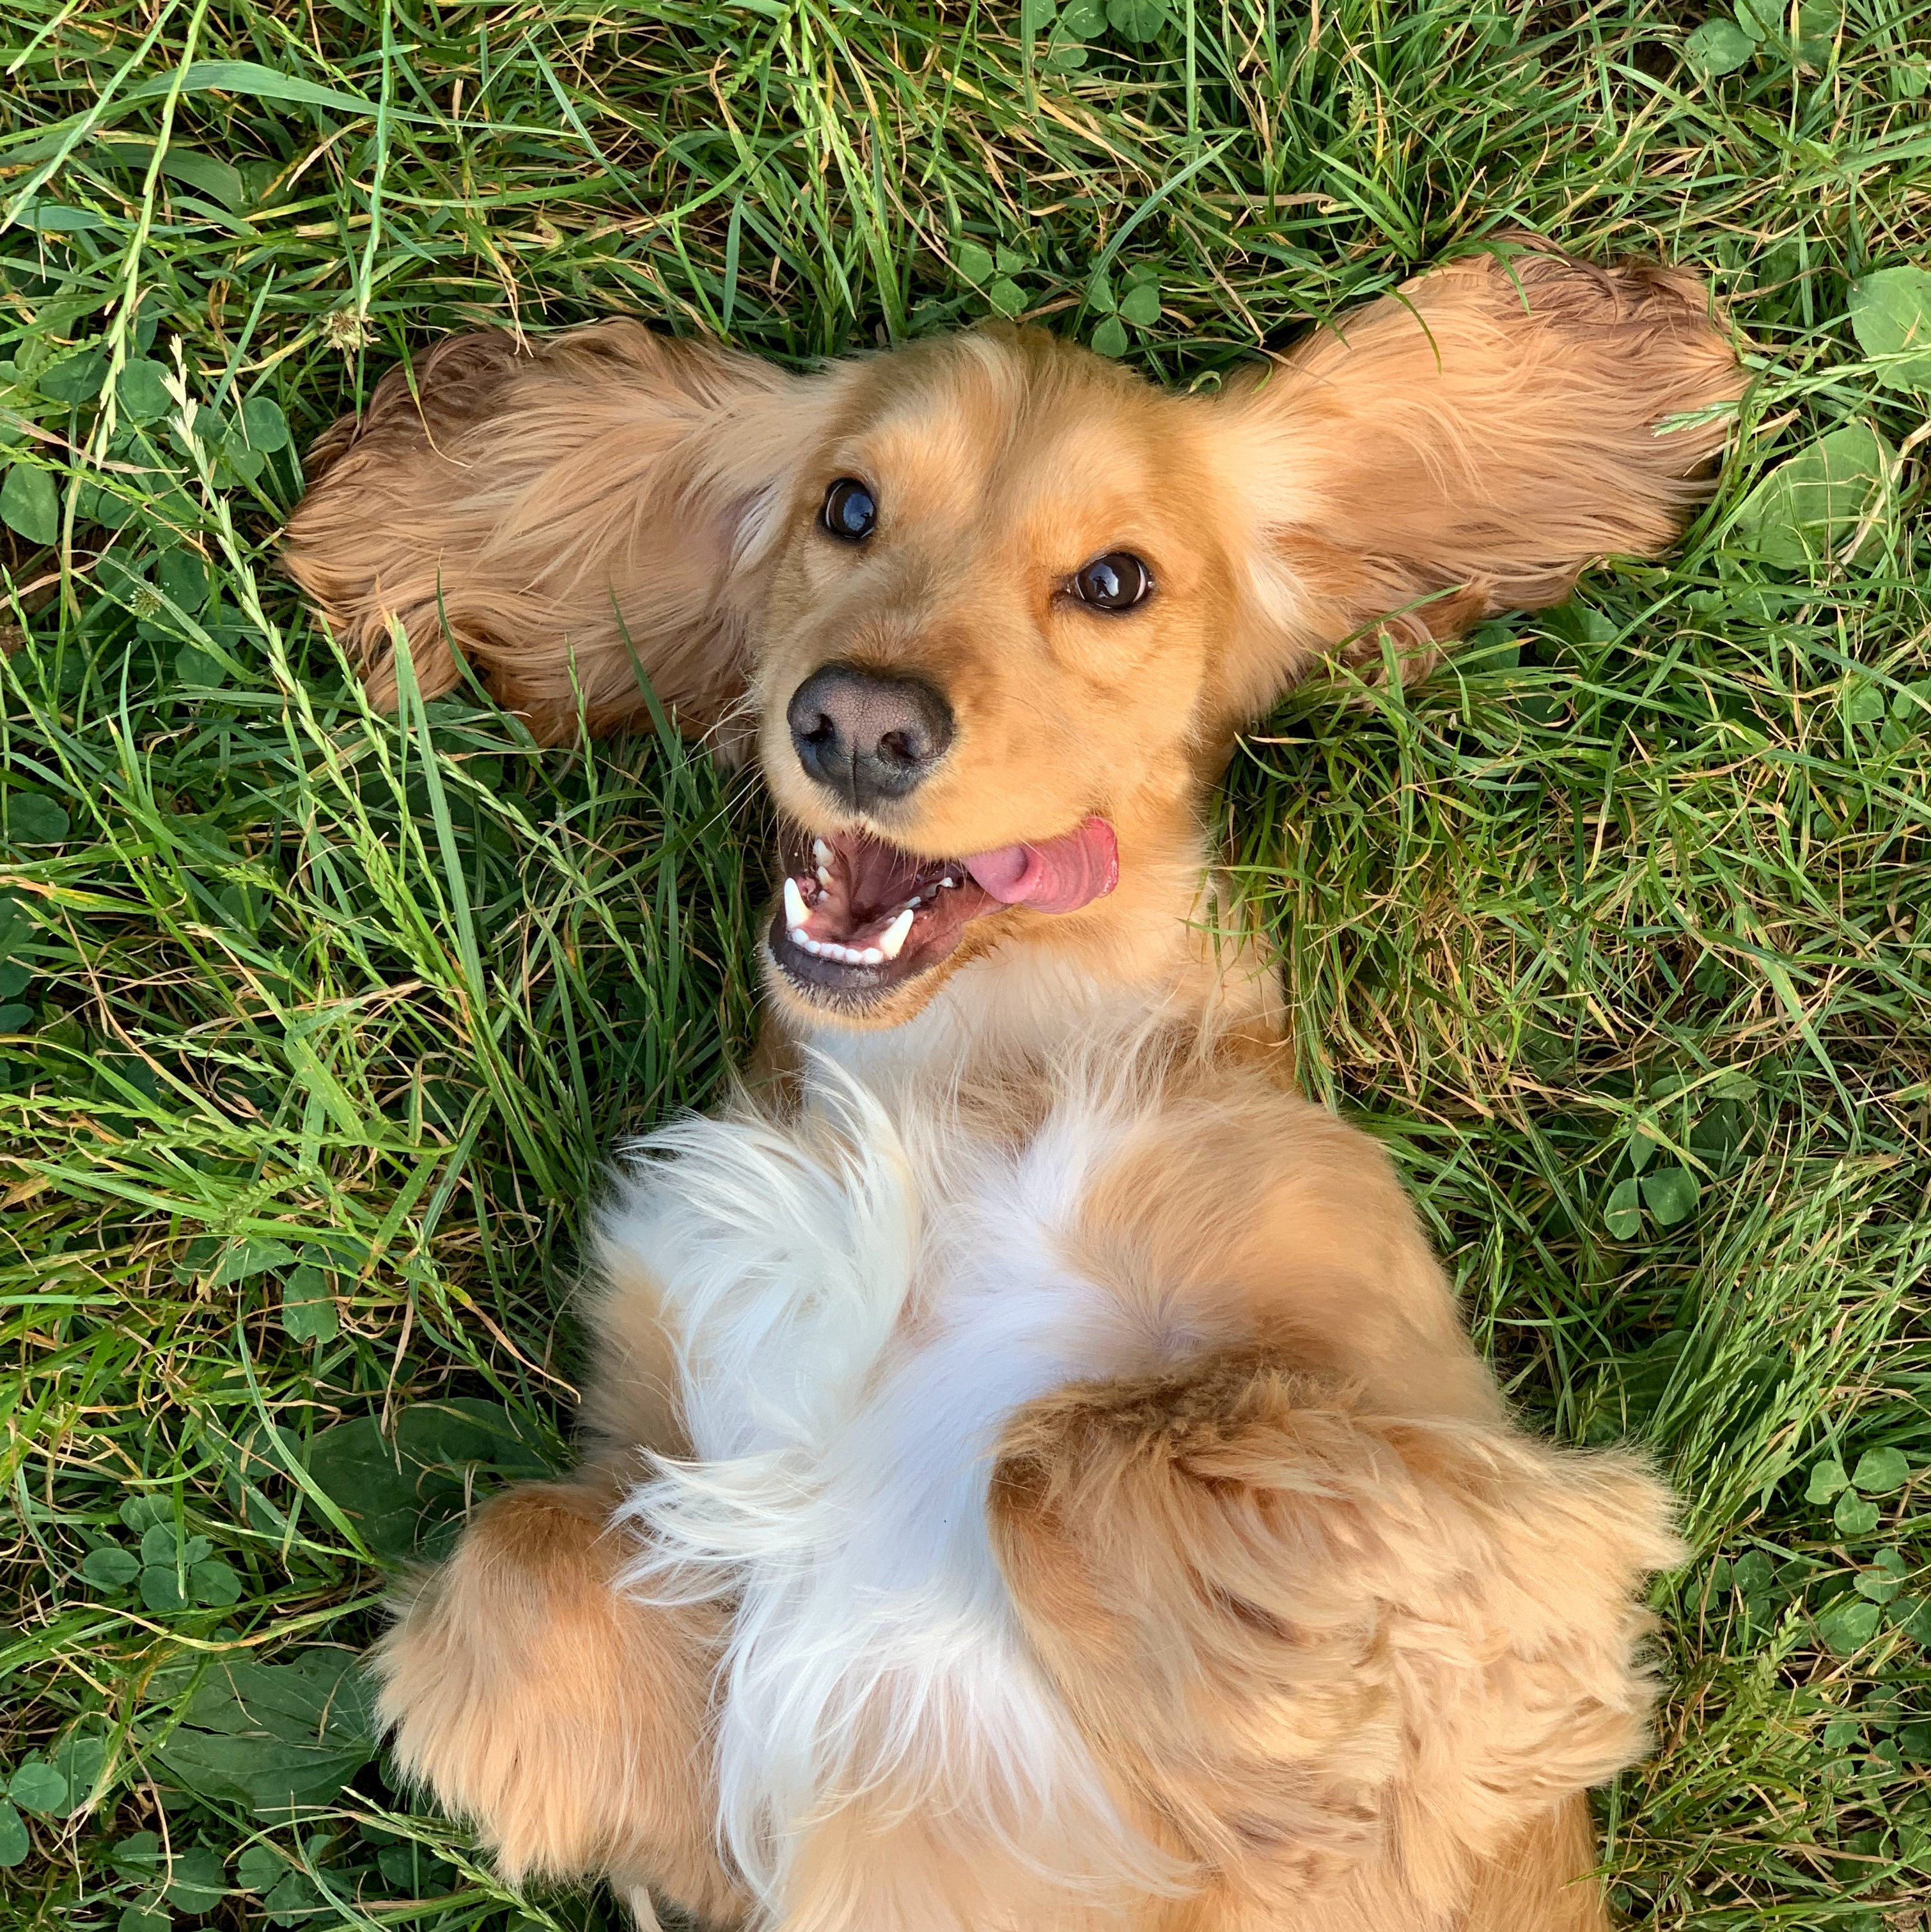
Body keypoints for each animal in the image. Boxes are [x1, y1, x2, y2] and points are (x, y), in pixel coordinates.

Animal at [290, 241, 1753, 1932]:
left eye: (1114, 581)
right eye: (847, 505)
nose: (858, 724)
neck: (953, 1079)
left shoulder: (1493, 1502)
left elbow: (1059, 1451)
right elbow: (516, 1556)